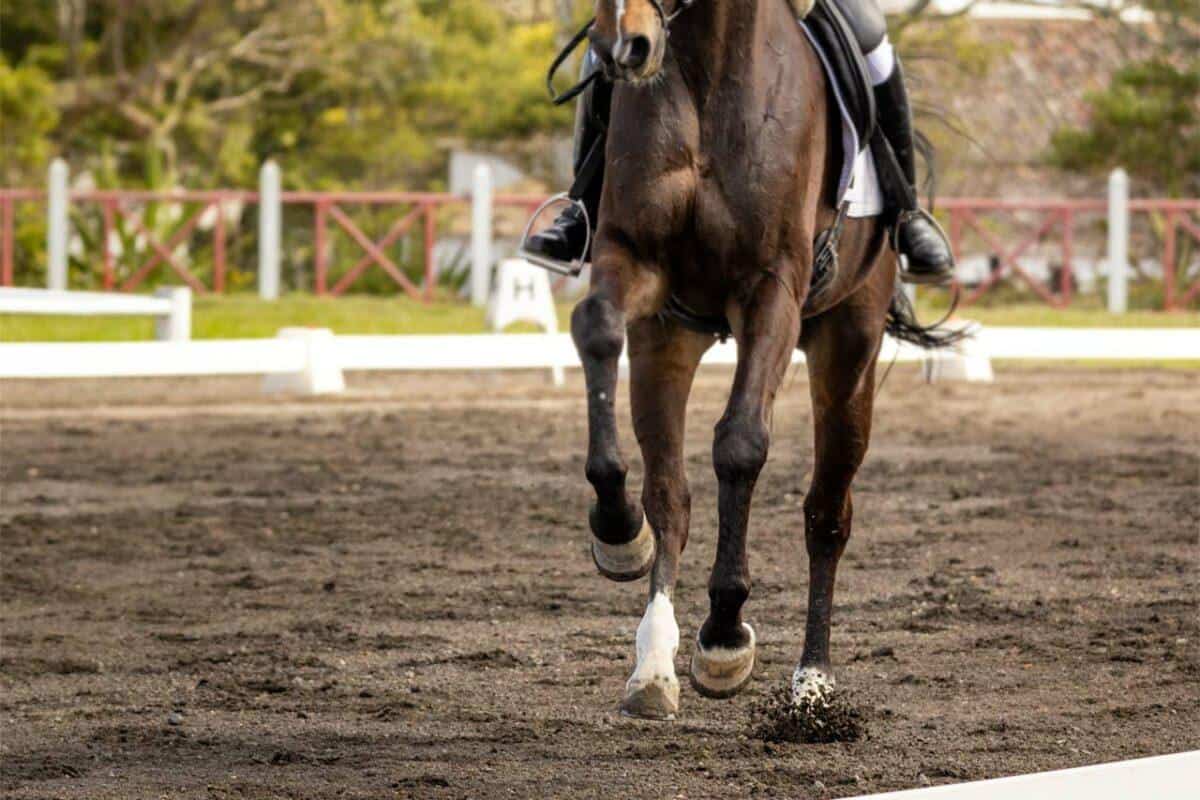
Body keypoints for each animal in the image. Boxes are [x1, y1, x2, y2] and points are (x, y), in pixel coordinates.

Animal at [569, 0, 951, 720]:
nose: (622, 47)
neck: (705, 76)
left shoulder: (771, 289)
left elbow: (741, 444)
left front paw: (723, 636)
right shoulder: (633, 257)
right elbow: (596, 327)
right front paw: (617, 531)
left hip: (848, 349)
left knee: (827, 513)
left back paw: (812, 685)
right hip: (669, 339)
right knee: (671, 494)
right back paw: (652, 665)